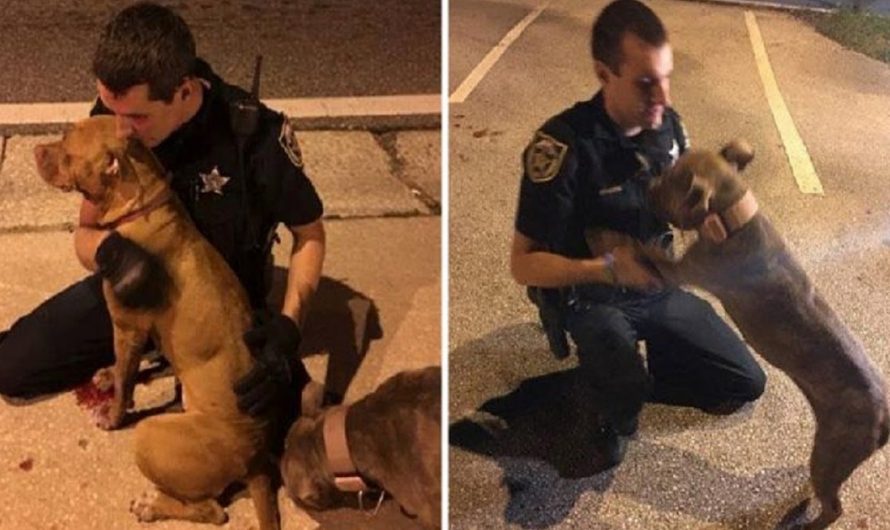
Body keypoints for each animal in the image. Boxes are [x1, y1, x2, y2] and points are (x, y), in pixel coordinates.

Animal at [35, 115, 280, 528]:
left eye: (67, 150)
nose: (36, 149)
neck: (139, 203)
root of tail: (257, 457)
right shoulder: (141, 330)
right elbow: (129, 367)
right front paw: (111, 374)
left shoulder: (127, 326)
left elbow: (126, 380)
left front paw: (114, 412)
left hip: (151, 435)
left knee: (214, 511)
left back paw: (153, 505)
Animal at [644, 139, 888, 528]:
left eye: (668, 184)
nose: (645, 185)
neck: (734, 219)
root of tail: (884, 418)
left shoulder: (680, 270)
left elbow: (637, 251)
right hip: (827, 456)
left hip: (833, 452)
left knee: (835, 508)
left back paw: (807, 521)